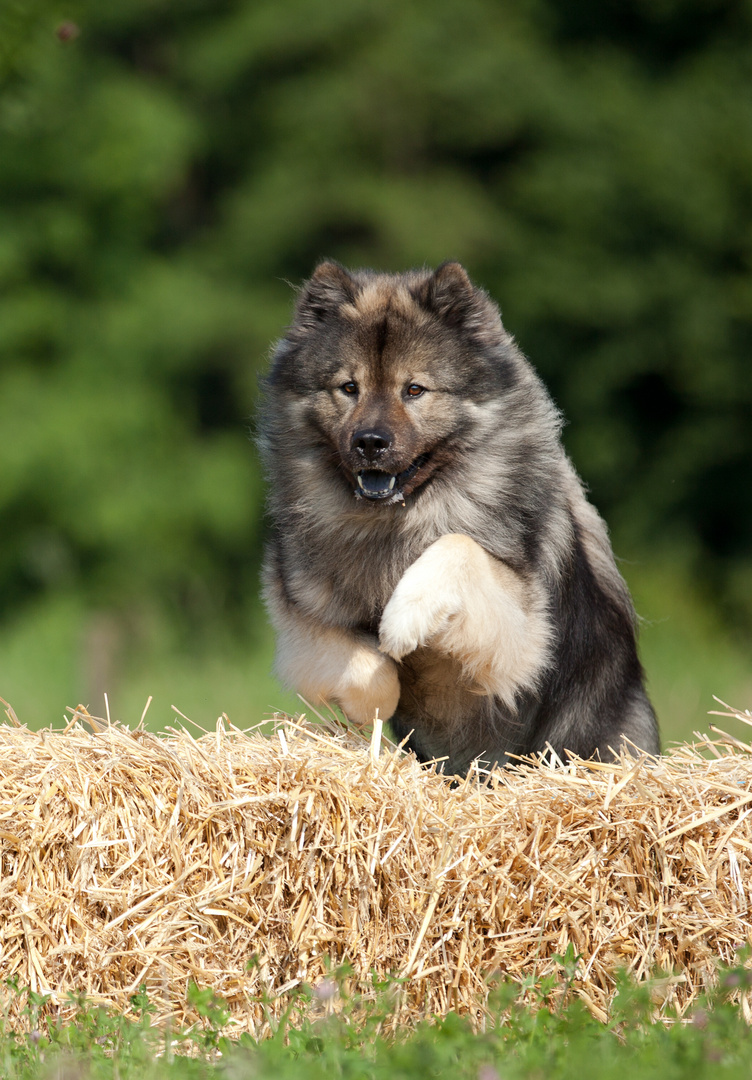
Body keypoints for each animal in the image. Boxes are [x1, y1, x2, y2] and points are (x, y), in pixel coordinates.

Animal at [258, 261, 656, 777]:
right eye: (349, 388)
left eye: (414, 390)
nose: (370, 442)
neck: (394, 522)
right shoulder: (301, 619)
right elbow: (371, 671)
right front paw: (375, 699)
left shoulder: (526, 636)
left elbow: (456, 545)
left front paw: (404, 617)